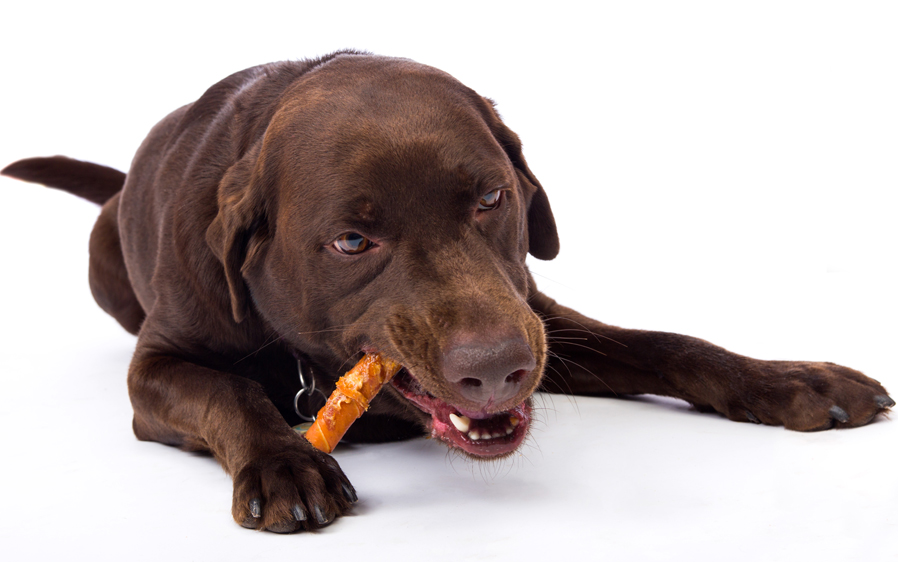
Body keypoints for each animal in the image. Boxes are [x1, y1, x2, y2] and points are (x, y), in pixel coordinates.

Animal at [3, 50, 892, 532]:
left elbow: (670, 345)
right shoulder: (157, 369)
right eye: (351, 242)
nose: (496, 370)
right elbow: (233, 394)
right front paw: (285, 464)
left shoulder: (536, 313)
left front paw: (794, 381)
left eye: (490, 197)